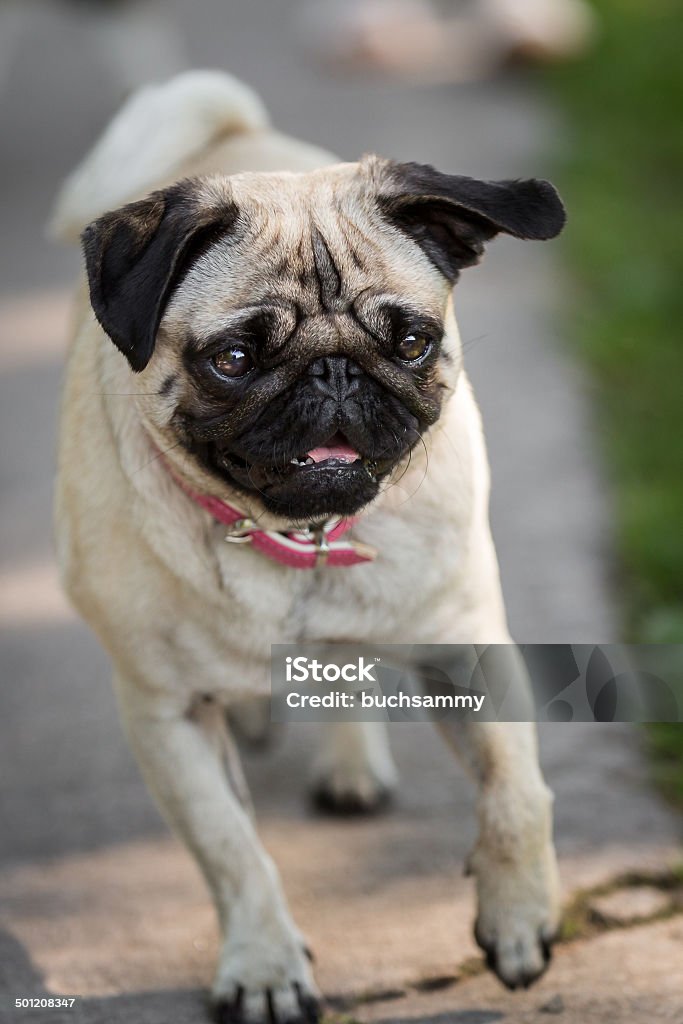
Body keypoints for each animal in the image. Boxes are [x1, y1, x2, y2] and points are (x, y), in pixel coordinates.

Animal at [52, 72, 565, 1024]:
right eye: (233, 358)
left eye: (412, 341)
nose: (333, 375)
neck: (297, 540)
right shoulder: (166, 713)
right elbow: (231, 849)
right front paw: (262, 965)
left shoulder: (468, 648)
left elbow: (515, 793)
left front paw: (519, 914)